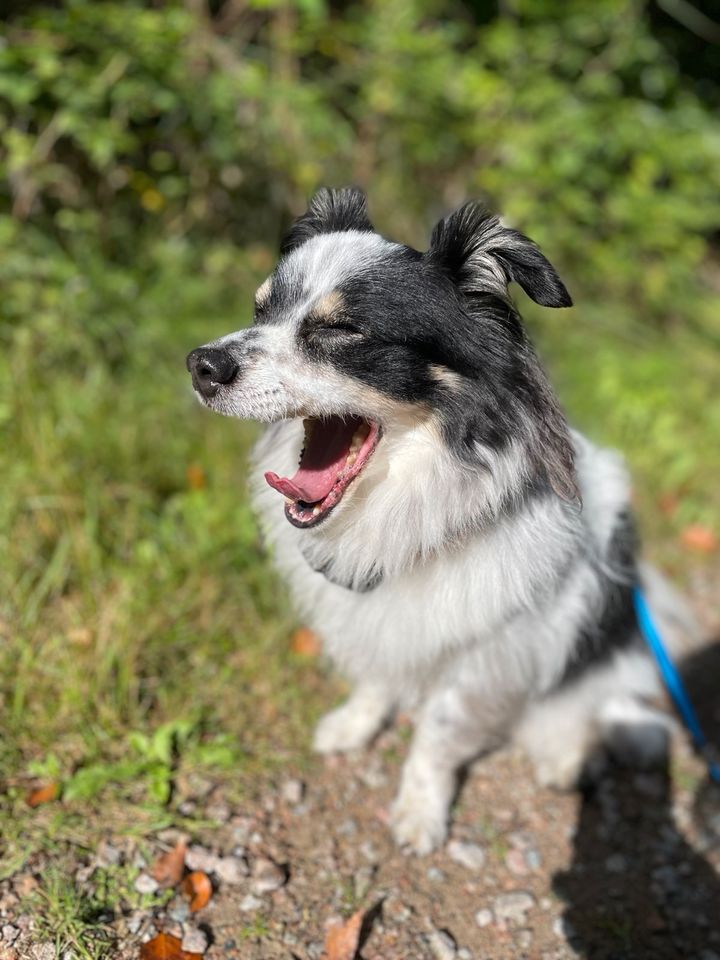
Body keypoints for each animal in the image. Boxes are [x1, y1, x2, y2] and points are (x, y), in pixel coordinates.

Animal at [188, 188, 696, 856]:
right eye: (258, 309)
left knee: (603, 702)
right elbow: (374, 675)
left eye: (342, 330)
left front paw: (419, 811)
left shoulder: (490, 644)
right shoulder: (376, 614)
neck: (411, 495)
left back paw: (577, 751)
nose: (200, 364)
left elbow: (438, 733)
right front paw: (354, 726)